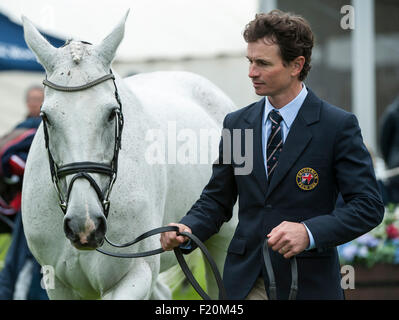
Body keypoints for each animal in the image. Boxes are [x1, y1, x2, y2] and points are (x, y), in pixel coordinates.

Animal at [21, 11, 238, 298]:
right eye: (46, 116)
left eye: (111, 113)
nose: (84, 225)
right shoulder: (58, 284)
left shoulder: (136, 275)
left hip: (221, 245)